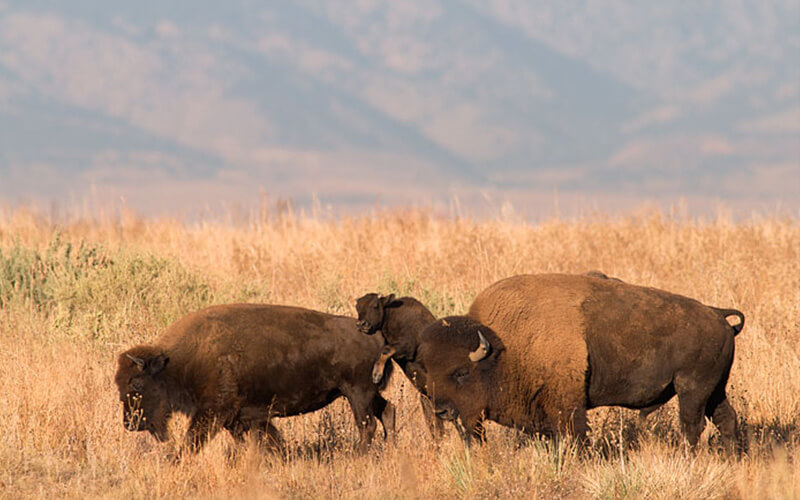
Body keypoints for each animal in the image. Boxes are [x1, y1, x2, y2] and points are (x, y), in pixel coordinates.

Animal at [114, 302, 396, 456]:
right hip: (366, 393)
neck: (176, 362)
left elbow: (192, 441)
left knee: (367, 425)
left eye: (136, 384)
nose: (130, 423)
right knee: (387, 410)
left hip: (357, 393)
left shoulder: (214, 413)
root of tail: (378, 337)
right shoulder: (244, 418)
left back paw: (359, 456)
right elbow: (267, 441)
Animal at [418, 274, 744, 450]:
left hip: (692, 389)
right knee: (726, 419)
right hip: (715, 389)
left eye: (461, 372)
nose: (440, 410)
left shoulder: (567, 405)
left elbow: (575, 435)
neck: (504, 346)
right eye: (429, 371)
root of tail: (717, 316)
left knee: (692, 425)